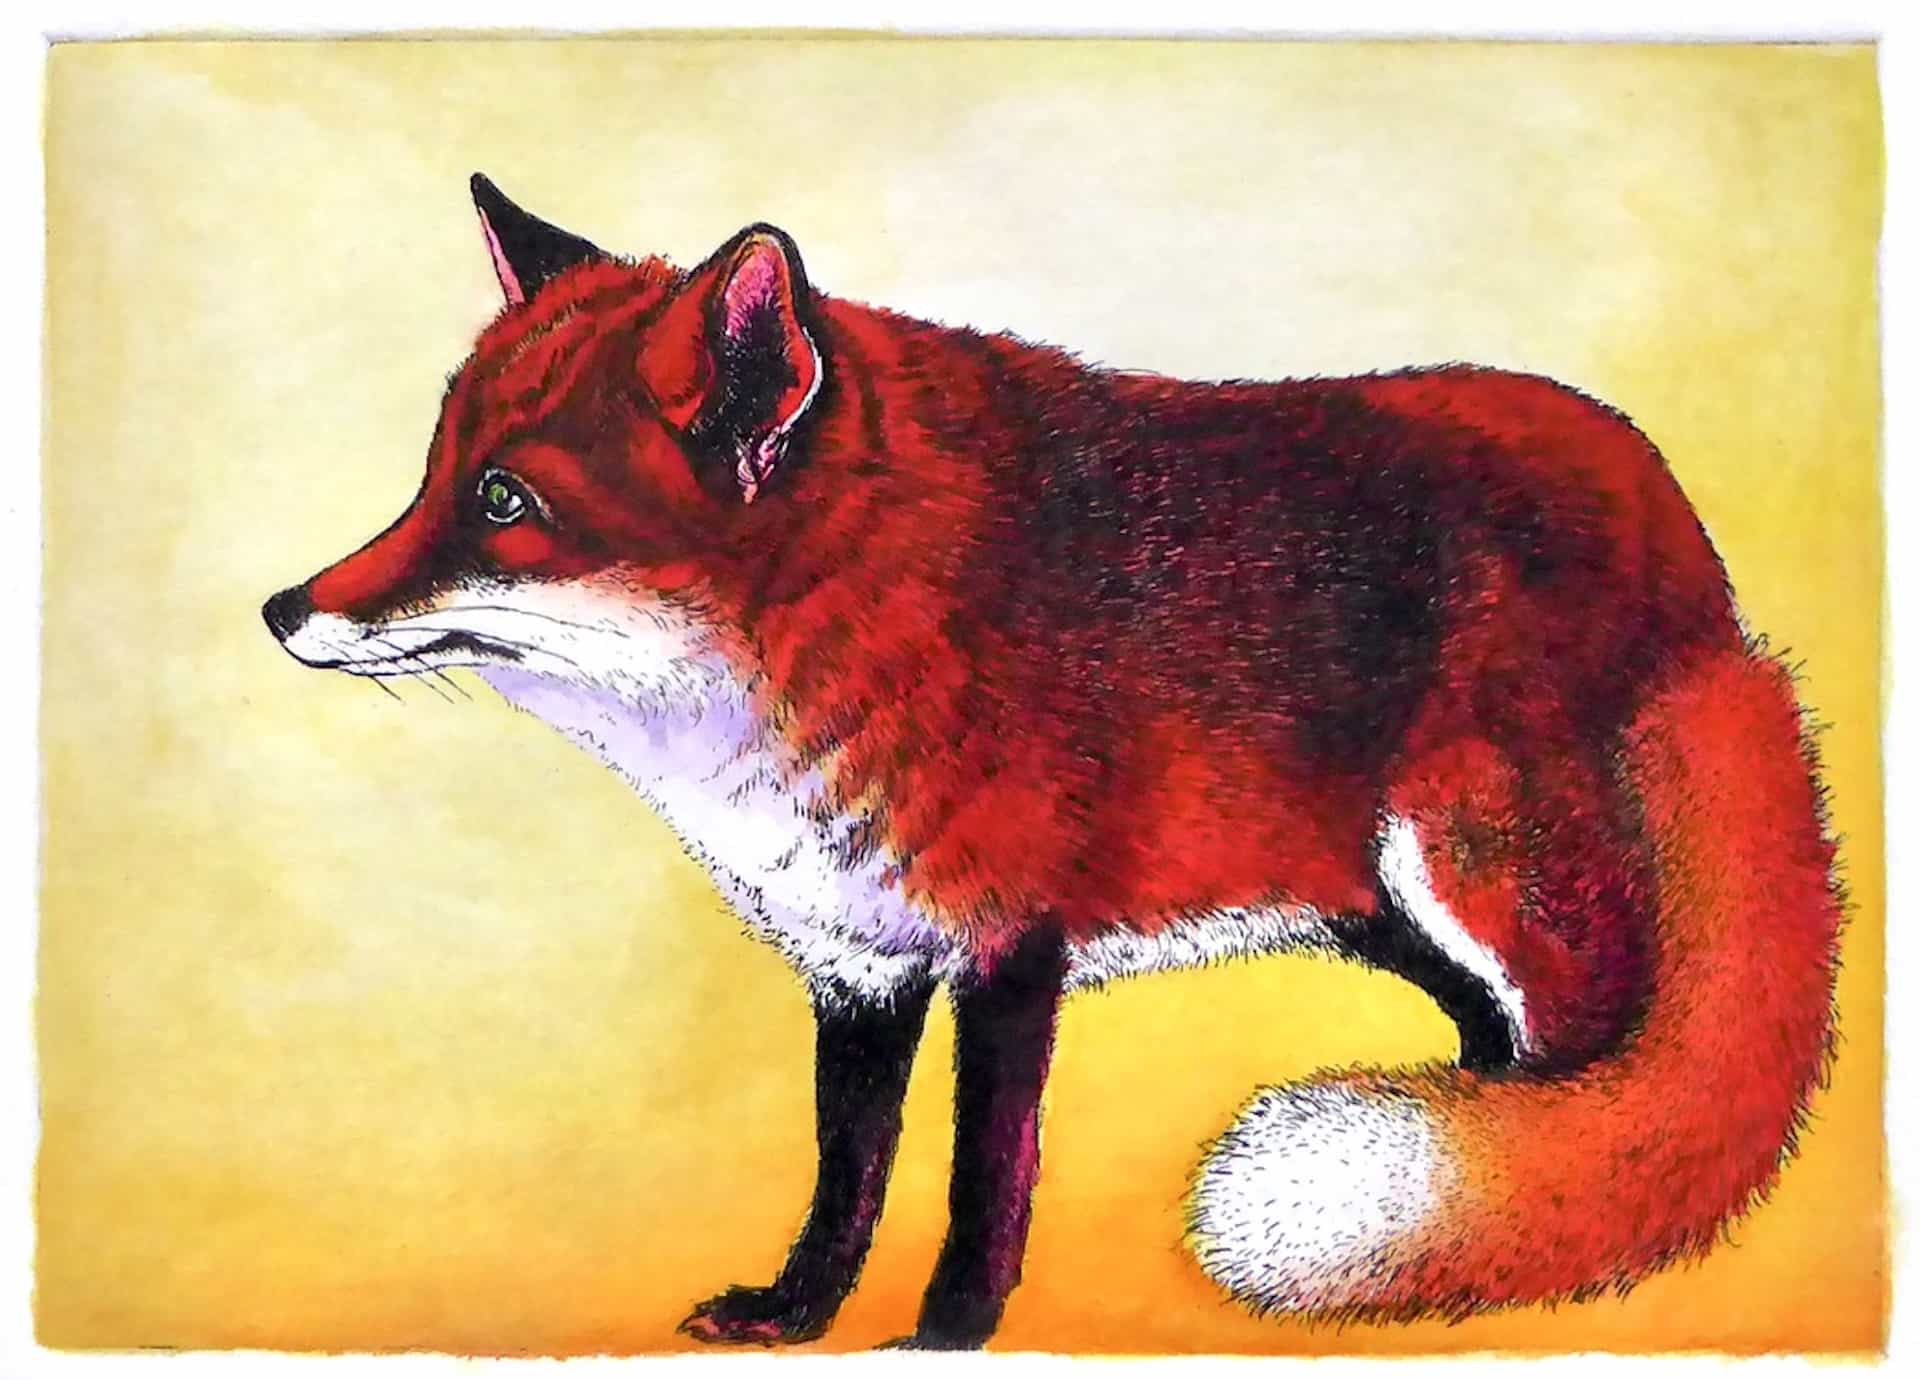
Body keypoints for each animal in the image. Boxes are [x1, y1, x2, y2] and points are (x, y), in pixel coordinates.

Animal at [263, 173, 1842, 1350]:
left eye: (502, 502)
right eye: (431, 476)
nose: (283, 609)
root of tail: (1695, 563)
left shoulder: (1010, 946)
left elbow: (980, 1183)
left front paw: (946, 1335)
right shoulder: (860, 962)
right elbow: (846, 1173)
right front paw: (795, 1315)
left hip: (1485, 881)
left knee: (1585, 1092)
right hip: (1393, 912)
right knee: (1498, 1068)